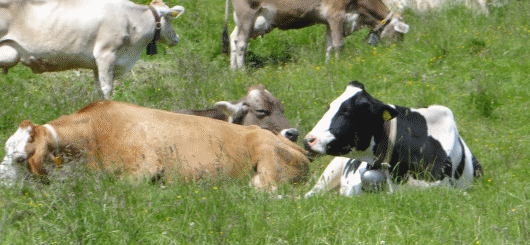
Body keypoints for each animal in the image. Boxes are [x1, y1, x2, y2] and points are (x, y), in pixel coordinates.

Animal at [0, 0, 185, 99]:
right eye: (171, 19)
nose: (177, 38)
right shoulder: (106, 54)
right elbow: (107, 88)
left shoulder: (97, 63)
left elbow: (99, 89)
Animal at [223, 0, 408, 70]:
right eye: (399, 35)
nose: (399, 50)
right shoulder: (336, 14)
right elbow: (339, 44)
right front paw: (339, 66)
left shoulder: (329, 21)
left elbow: (329, 45)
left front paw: (328, 65)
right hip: (247, 13)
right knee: (241, 43)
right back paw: (242, 71)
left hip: (246, 20)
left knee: (233, 38)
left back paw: (233, 70)